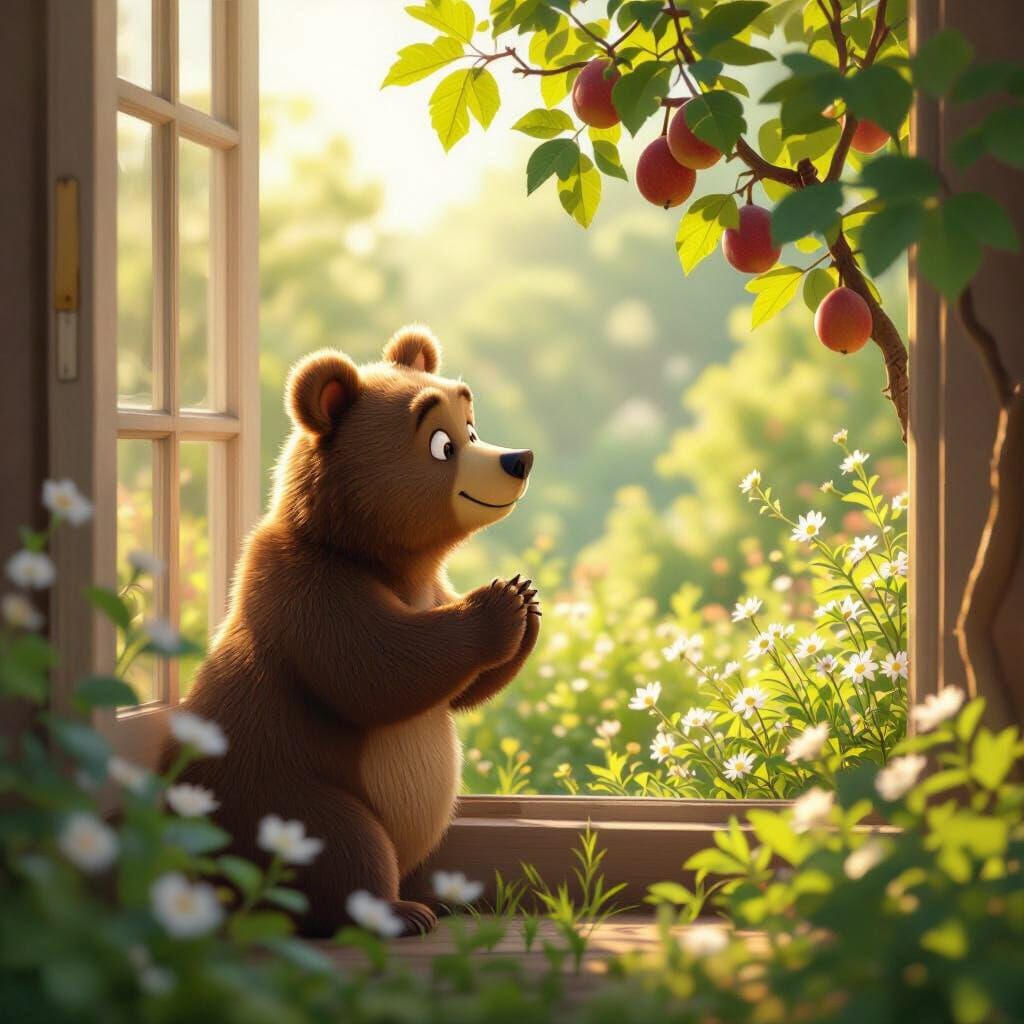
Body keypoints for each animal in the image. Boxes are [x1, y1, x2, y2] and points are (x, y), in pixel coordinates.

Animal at [160, 326, 540, 937]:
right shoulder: (308, 592)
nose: (518, 459)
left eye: (471, 426)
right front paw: (498, 604)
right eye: (442, 443)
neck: (375, 557)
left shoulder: (427, 585)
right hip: (282, 797)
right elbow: (374, 671)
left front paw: (524, 599)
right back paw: (398, 911)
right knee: (344, 845)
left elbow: (457, 692)